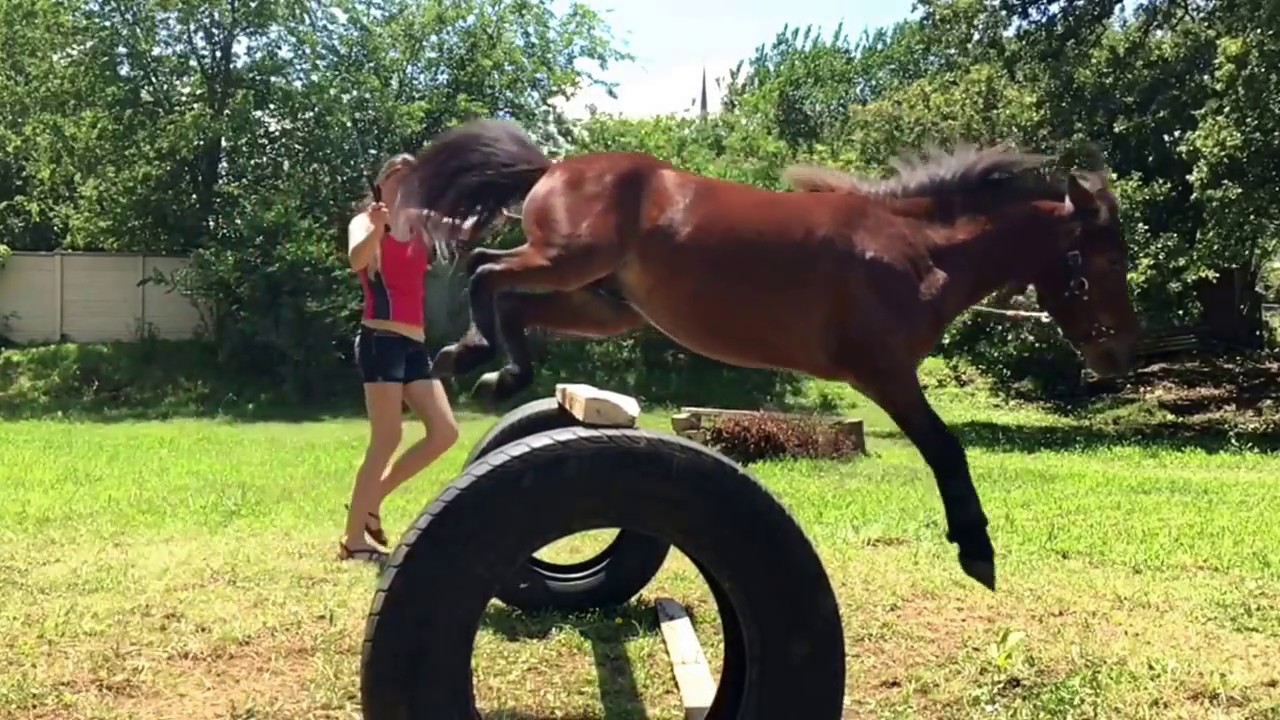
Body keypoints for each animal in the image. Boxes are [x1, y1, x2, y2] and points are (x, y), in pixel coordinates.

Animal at [390, 118, 1141, 591]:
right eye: (1108, 259)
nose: (1122, 357)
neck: (913, 251)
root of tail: (554, 168)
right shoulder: (885, 373)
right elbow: (946, 449)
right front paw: (977, 551)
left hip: (601, 306)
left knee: (506, 293)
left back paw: (484, 364)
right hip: (569, 261)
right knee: (486, 269)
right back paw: (485, 363)